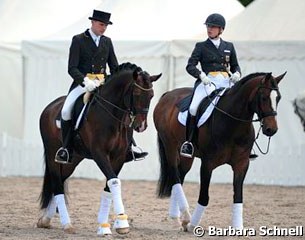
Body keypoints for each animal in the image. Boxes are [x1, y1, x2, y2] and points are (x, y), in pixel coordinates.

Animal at [37, 62, 162, 235]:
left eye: (151, 95)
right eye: (136, 94)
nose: (141, 126)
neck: (113, 115)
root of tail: (49, 108)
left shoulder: (118, 157)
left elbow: (109, 185)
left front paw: (105, 225)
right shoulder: (99, 154)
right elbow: (114, 182)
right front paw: (122, 223)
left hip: (73, 160)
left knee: (60, 182)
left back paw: (45, 220)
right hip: (52, 156)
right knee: (57, 185)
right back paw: (67, 224)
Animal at [154, 71, 284, 232]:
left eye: (278, 98)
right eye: (264, 97)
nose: (271, 129)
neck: (233, 124)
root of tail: (167, 94)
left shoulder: (242, 164)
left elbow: (238, 196)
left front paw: (238, 227)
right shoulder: (207, 164)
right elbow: (204, 197)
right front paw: (193, 225)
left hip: (186, 156)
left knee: (180, 175)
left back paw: (179, 218)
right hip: (170, 146)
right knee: (175, 176)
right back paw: (184, 218)